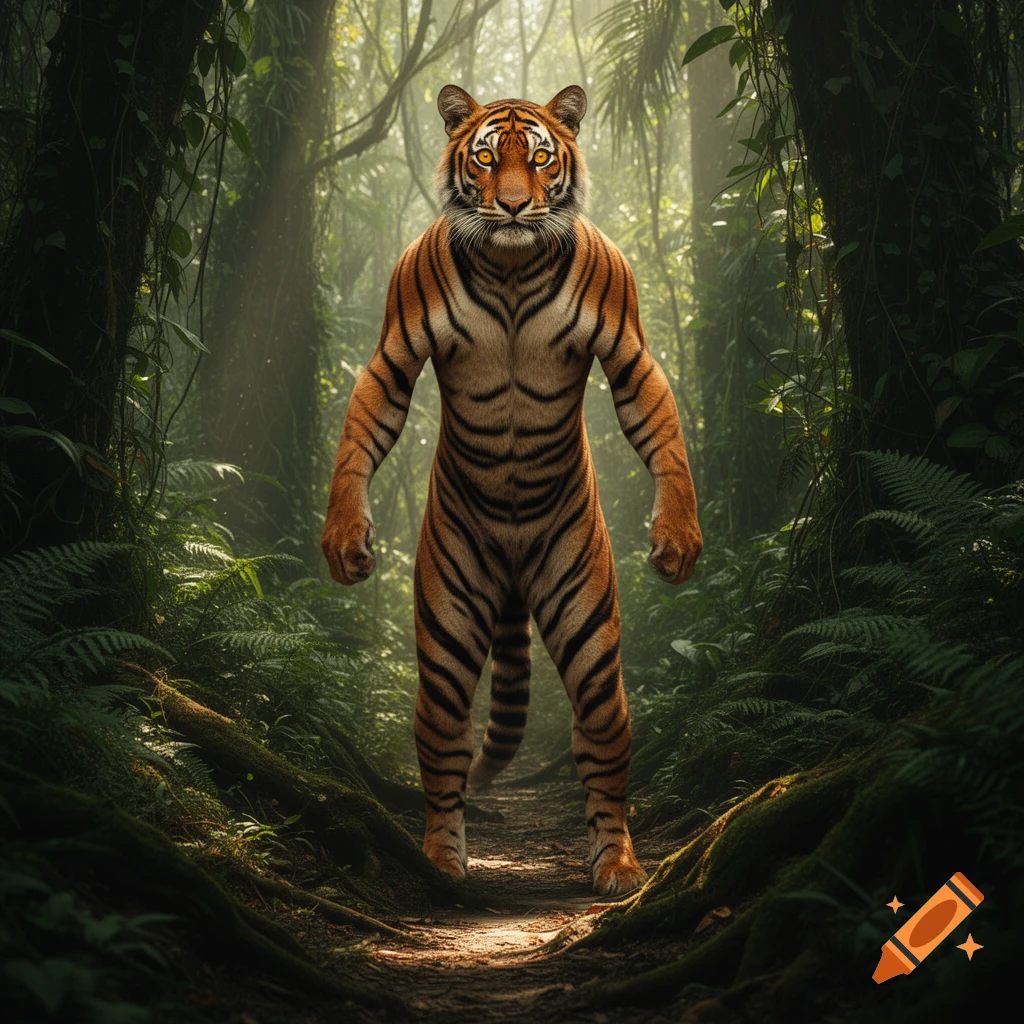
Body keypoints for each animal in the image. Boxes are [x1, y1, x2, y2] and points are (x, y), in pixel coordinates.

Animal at [321, 84, 703, 895]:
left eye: (542, 158)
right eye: (488, 158)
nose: (517, 206)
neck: (511, 266)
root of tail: (516, 578)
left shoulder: (628, 345)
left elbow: (659, 426)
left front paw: (677, 538)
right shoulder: (394, 348)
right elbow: (366, 424)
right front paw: (344, 538)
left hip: (586, 620)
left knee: (603, 738)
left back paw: (617, 863)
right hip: (447, 622)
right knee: (443, 742)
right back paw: (441, 861)